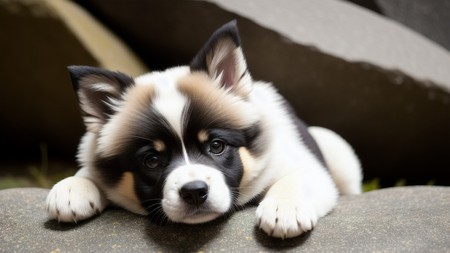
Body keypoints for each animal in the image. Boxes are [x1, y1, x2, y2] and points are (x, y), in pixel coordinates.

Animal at [46, 20, 362, 239]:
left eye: (217, 146)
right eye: (152, 160)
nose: (194, 192)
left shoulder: (306, 166)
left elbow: (297, 178)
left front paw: (284, 210)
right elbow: (89, 168)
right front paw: (71, 188)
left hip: (337, 149)